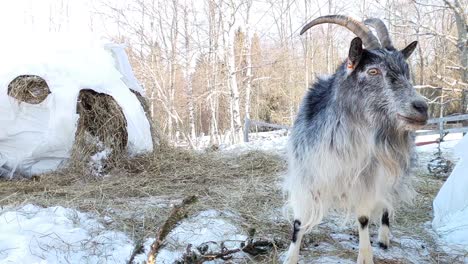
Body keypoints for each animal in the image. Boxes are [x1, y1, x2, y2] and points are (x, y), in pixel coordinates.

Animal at [282, 15, 428, 262]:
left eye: (406, 71)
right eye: (373, 71)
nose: (422, 108)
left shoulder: (368, 179)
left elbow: (363, 218)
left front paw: (365, 255)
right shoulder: (306, 173)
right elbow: (299, 221)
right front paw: (290, 257)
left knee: (386, 204)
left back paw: (384, 238)